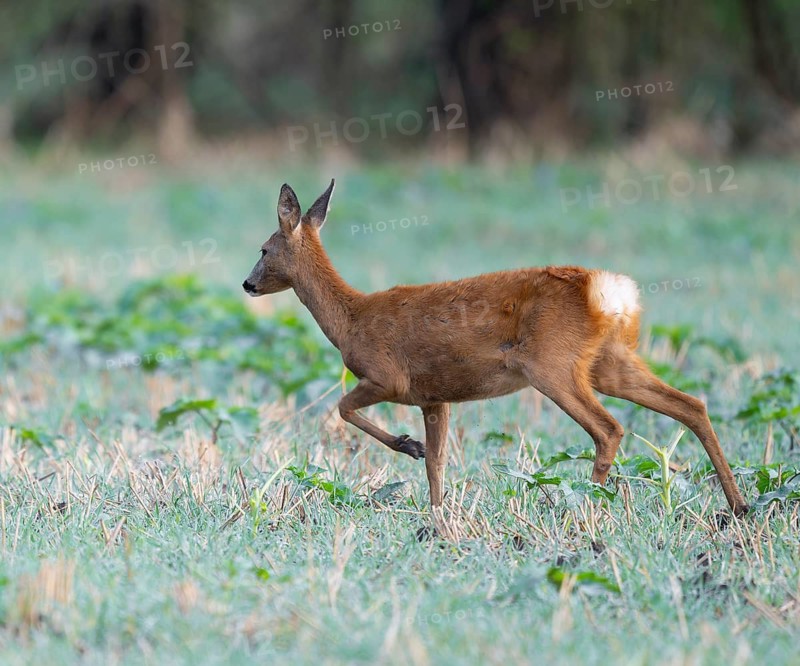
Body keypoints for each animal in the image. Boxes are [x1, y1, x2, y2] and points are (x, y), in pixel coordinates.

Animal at [242, 180, 749, 518]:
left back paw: (584, 509)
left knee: (608, 428)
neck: (352, 319)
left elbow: (343, 408)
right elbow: (438, 463)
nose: (247, 284)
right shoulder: (434, 396)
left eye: (264, 249)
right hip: (611, 362)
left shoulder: (389, 377)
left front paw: (408, 447)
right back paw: (738, 506)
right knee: (691, 404)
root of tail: (608, 292)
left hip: (552, 365)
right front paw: (437, 517)